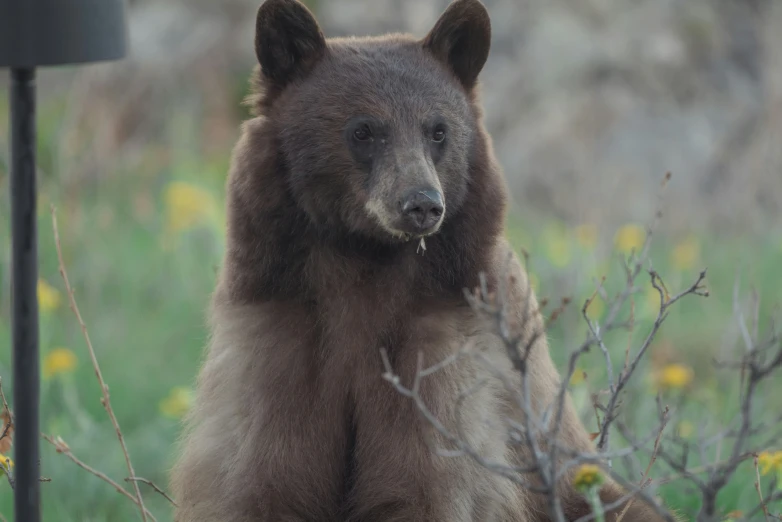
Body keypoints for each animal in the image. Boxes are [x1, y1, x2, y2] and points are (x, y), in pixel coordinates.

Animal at [170, 0, 672, 516]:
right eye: (364, 130)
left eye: (438, 130)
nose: (422, 203)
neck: (363, 260)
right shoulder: (280, 336)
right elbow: (261, 478)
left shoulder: (445, 353)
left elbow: (427, 480)